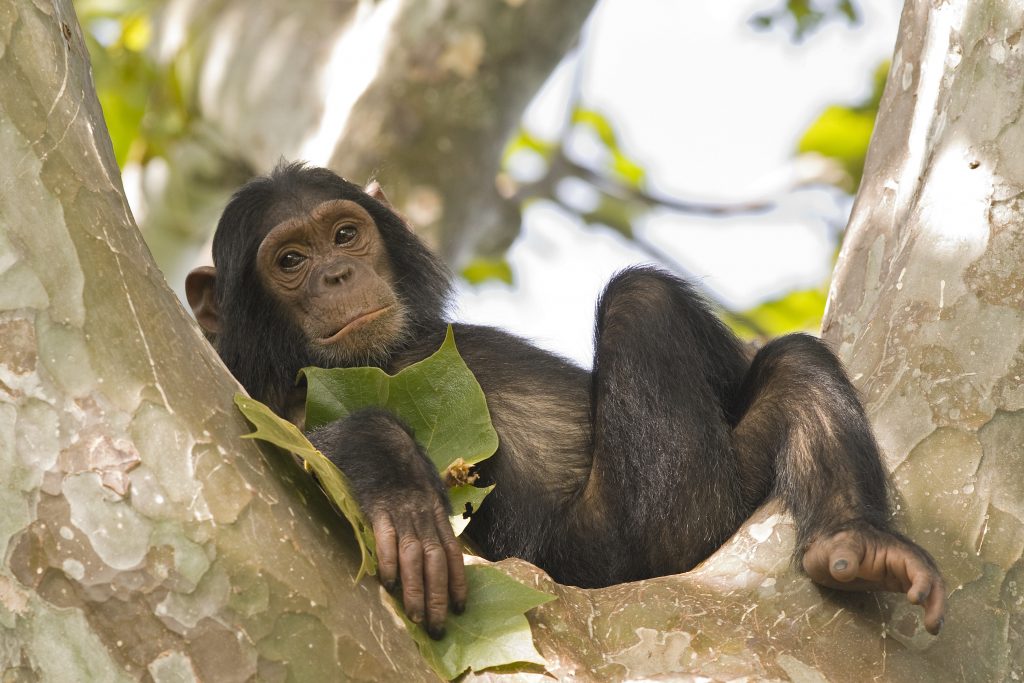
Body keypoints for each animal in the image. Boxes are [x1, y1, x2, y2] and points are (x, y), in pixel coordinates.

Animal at [188, 161, 946, 643]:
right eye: (290, 261)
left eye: (345, 234)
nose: (338, 273)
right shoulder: (262, 397)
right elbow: (288, 440)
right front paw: (399, 488)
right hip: (644, 542)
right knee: (643, 301)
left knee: (791, 367)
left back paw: (858, 541)